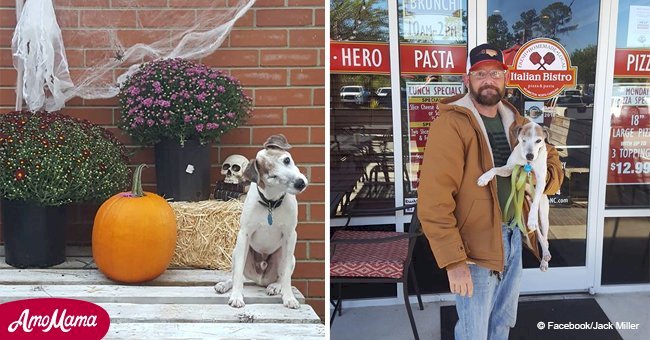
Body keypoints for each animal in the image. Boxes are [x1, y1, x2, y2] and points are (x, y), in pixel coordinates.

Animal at [214, 135, 308, 308]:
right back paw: (224, 285)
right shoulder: (244, 235)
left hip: (290, 257)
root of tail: (261, 280)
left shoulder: (290, 235)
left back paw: (275, 286)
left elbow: (286, 275)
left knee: (281, 275)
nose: (300, 183)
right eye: (273, 176)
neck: (271, 203)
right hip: (236, 252)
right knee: (236, 274)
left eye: (286, 160)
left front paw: (289, 298)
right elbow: (238, 274)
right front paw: (236, 296)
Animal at [476, 119, 552, 270]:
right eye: (523, 140)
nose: (530, 156)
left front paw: (531, 219)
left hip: (543, 215)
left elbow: (535, 201)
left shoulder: (541, 180)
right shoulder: (510, 169)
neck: (527, 164)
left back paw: (545, 259)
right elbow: (495, 169)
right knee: (540, 235)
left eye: (538, 140)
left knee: (545, 238)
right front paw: (485, 178)